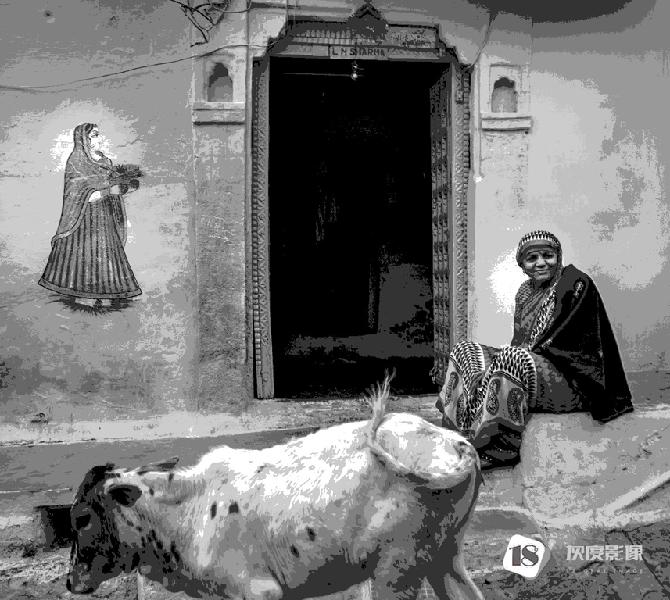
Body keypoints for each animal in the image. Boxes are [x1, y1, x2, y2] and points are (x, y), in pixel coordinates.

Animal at [66, 378, 484, 600]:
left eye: (82, 518)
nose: (70, 581)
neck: (192, 511)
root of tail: (455, 443)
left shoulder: (258, 590)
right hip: (445, 558)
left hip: (395, 570)